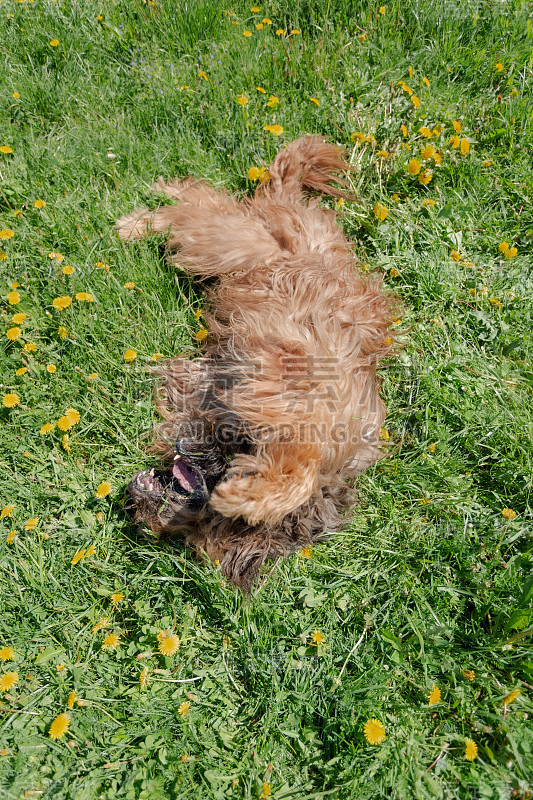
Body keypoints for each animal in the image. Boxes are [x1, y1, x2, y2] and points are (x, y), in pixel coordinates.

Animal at [117, 136, 400, 588]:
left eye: (188, 530)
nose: (131, 504)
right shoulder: (304, 401)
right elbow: (296, 474)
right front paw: (248, 498)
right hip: (237, 244)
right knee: (195, 204)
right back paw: (137, 222)